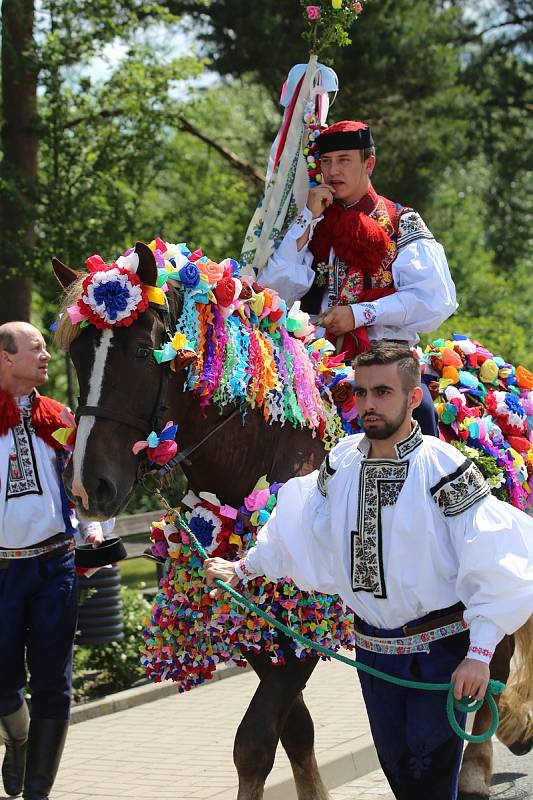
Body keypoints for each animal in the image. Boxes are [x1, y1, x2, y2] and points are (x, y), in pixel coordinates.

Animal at [53, 244, 532, 800]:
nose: (87, 487)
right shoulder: (264, 626)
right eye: (77, 355)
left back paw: (475, 768)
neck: (264, 450)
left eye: (138, 350)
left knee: (490, 661)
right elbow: (295, 732)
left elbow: (254, 744)